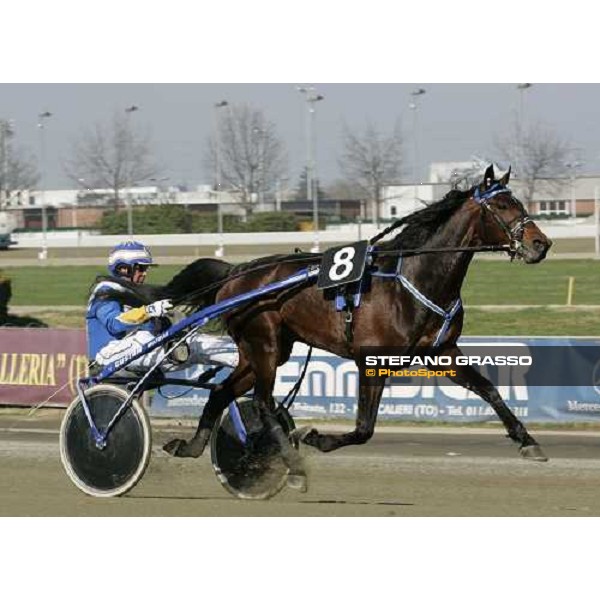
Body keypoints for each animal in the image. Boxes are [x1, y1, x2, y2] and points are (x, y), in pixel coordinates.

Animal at [152, 163, 552, 488]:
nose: (541, 243)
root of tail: (237, 271)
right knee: (263, 404)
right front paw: (318, 439)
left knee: (222, 392)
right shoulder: (371, 361)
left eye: (519, 203)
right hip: (264, 344)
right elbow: (364, 428)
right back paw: (292, 464)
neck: (416, 279)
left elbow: (490, 390)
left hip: (262, 351)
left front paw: (528, 442)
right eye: (502, 207)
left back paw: (192, 447)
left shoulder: (442, 351)